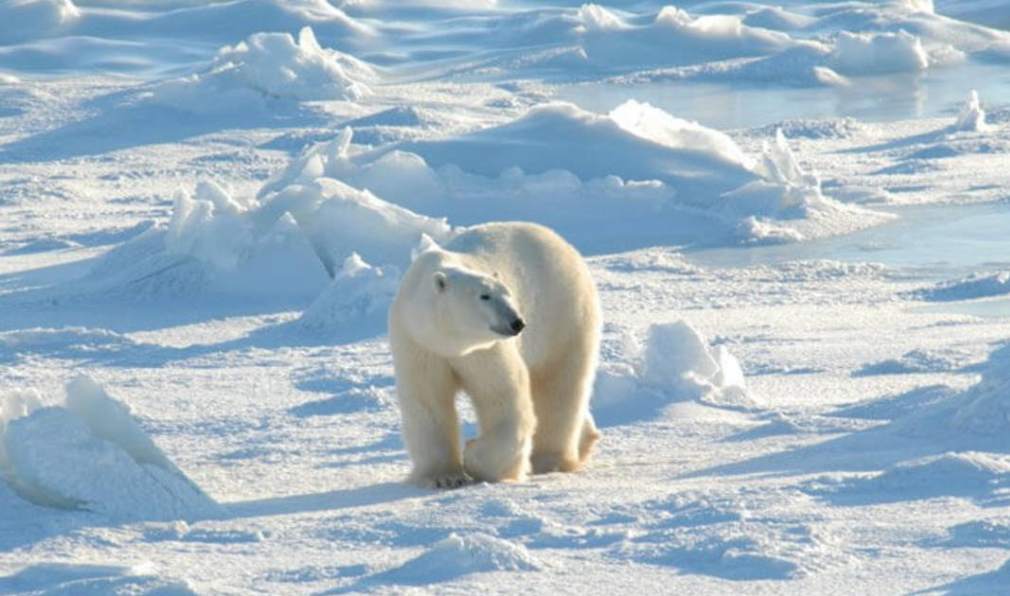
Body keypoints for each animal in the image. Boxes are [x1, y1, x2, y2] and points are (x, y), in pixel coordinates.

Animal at [388, 221, 601, 488]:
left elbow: (502, 394)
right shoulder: (419, 345)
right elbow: (427, 401)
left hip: (563, 313)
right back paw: (586, 437)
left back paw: (549, 460)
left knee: (559, 385)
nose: (517, 322)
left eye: (507, 293)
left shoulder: (485, 350)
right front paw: (444, 476)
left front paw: (473, 456)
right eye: (484, 296)